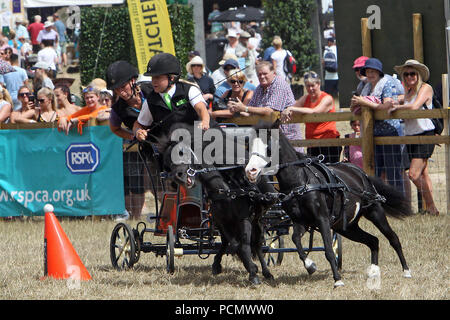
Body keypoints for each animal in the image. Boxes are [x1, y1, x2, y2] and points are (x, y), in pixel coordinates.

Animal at [155, 122, 276, 284]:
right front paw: (250, 268)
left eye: (181, 152)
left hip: (258, 220)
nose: (178, 177)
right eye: (167, 163)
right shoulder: (221, 222)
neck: (225, 191)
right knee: (228, 242)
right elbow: (235, 245)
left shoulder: (244, 219)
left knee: (256, 244)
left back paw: (267, 272)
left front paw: (254, 273)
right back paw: (218, 264)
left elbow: (245, 245)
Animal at [244, 121, 414, 288]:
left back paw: (406, 271)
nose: (250, 171)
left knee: (393, 239)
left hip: (375, 212)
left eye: (268, 144)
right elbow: (296, 240)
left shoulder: (322, 219)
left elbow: (328, 250)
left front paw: (337, 280)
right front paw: (310, 265)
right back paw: (373, 272)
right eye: (249, 146)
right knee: (373, 241)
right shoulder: (300, 221)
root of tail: (360, 172)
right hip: (346, 227)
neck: (300, 181)